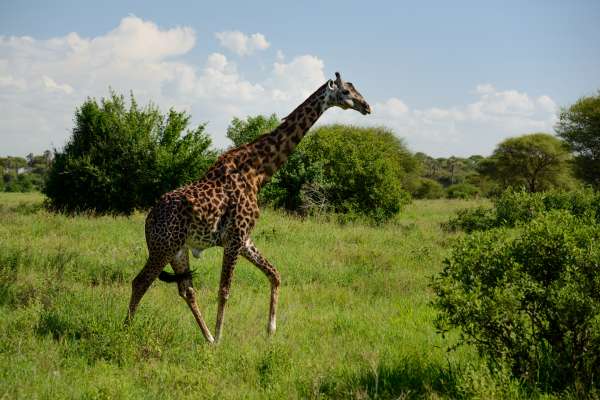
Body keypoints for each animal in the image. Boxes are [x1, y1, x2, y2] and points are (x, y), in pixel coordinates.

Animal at [126, 70, 370, 342]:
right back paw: (127, 331)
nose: (366, 106)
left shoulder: (244, 239)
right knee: (141, 282)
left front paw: (270, 330)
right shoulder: (235, 238)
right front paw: (222, 339)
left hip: (178, 250)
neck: (257, 172)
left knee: (186, 290)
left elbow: (275, 274)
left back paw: (206, 337)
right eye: (346, 92)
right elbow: (225, 290)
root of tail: (148, 219)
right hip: (163, 247)